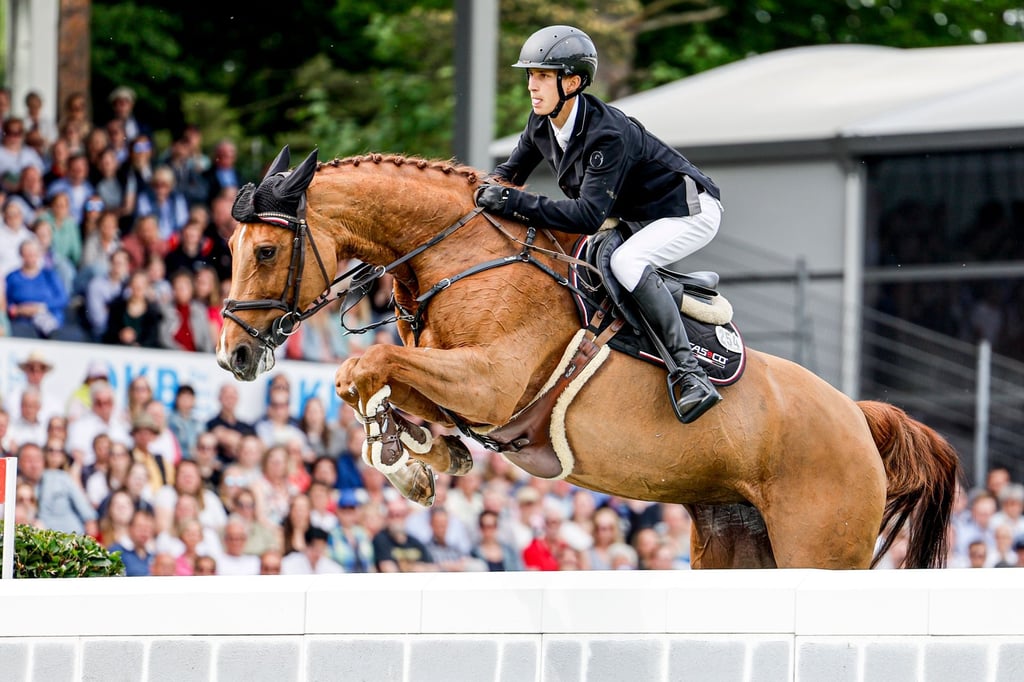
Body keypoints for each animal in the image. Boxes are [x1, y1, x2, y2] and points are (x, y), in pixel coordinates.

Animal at [214, 147, 958, 569]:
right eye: (229, 248)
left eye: (266, 250)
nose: (234, 358)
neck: (460, 256)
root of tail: (858, 417)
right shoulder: (463, 386)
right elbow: (386, 380)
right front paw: (426, 453)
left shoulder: (492, 383)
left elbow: (362, 370)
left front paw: (403, 459)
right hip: (734, 541)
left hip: (819, 547)